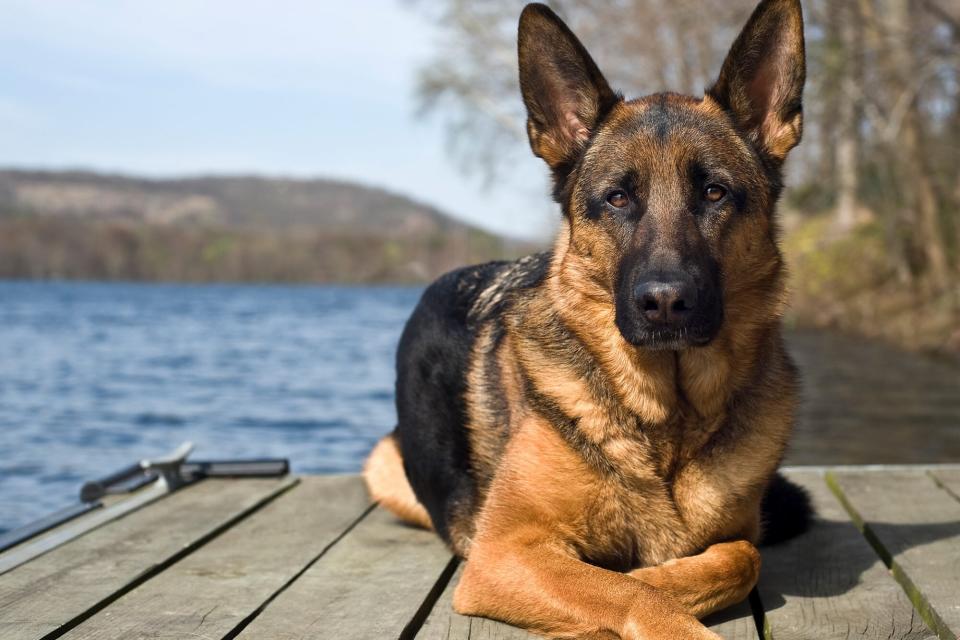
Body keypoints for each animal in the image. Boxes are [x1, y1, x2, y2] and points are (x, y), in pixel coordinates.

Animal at [368, 1, 808, 636]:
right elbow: (628, 591)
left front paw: (662, 574)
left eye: (715, 193)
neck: (666, 419)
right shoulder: (504, 554)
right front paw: (653, 593)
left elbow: (740, 558)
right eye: (618, 198)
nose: (665, 302)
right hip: (385, 467)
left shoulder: (737, 534)